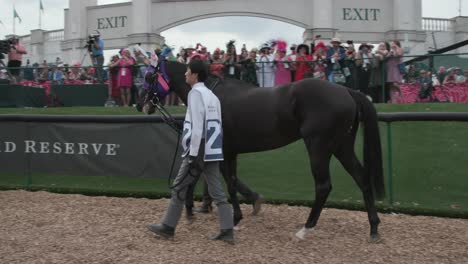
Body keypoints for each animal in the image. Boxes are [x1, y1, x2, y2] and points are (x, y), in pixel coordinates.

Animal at [138, 60, 384, 241]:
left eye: (149, 77)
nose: (141, 104)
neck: (212, 95)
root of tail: (347, 91)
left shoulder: (222, 149)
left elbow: (223, 181)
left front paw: (226, 217)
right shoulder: (229, 151)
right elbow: (227, 180)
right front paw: (231, 216)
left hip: (318, 146)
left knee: (324, 186)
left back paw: (305, 229)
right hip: (342, 146)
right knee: (362, 178)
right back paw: (373, 229)